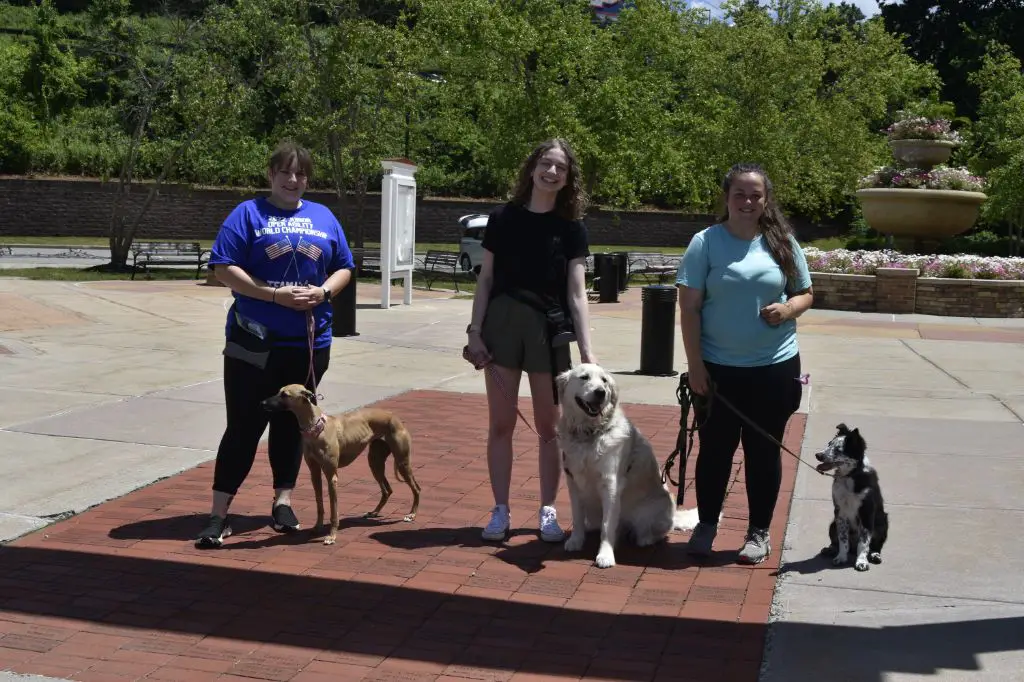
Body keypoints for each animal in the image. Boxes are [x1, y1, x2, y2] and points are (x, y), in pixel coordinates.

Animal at [264, 378, 423, 544]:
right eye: (278, 391)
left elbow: (334, 511)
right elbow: (319, 504)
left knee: (416, 488)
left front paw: (331, 536)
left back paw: (411, 515)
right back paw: (374, 512)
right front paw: (317, 528)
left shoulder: (332, 477)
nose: (263, 403)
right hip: (375, 462)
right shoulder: (315, 473)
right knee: (387, 490)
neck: (316, 428)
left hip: (402, 462)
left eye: (285, 394)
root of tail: (394, 417)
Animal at [557, 360, 700, 569]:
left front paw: (605, 555)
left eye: (604, 380)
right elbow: (577, 517)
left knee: (653, 532)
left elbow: (607, 526)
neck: (589, 435)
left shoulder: (610, 485)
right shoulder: (573, 482)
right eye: (584, 377)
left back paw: (642, 538)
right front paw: (575, 540)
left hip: (650, 511)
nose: (600, 392)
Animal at [815, 421, 888, 569]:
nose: (818, 455)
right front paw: (841, 558)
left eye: (838, 449)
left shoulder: (867, 512)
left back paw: (875, 555)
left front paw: (861, 562)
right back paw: (830, 549)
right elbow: (843, 539)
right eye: (829, 444)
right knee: (836, 541)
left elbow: (864, 542)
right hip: (833, 524)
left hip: (882, 522)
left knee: (875, 545)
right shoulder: (840, 512)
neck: (850, 476)